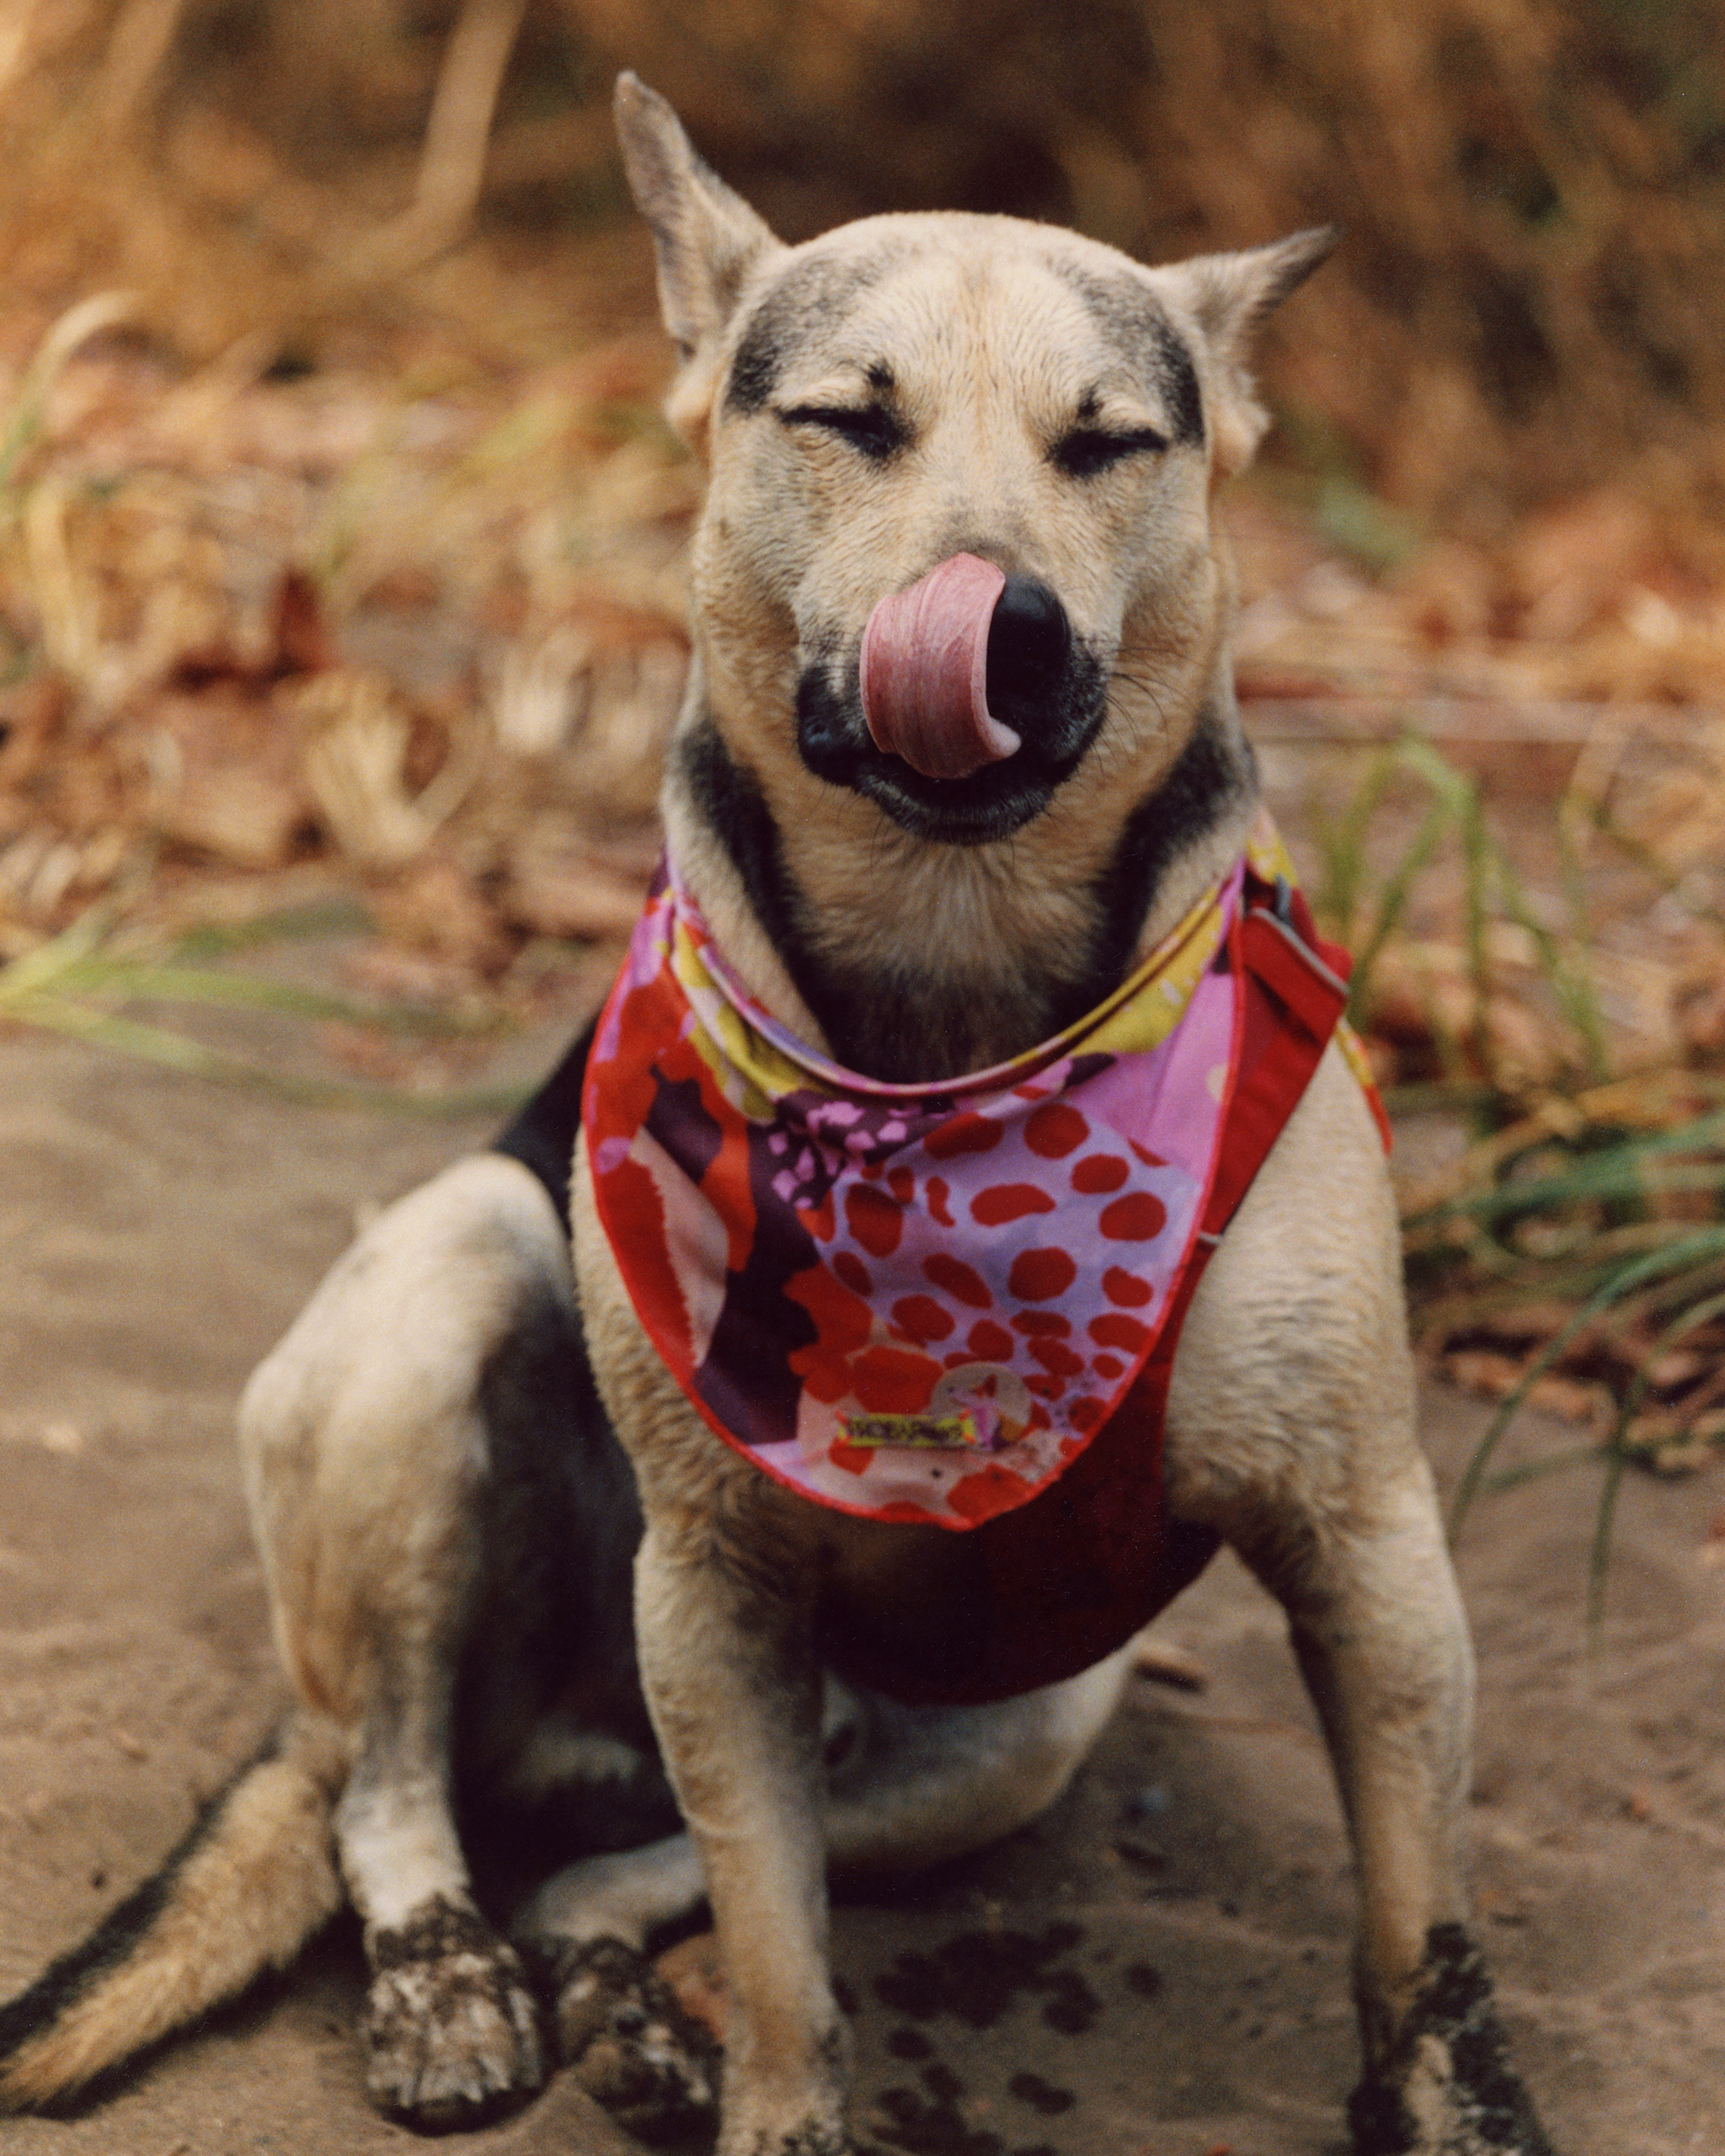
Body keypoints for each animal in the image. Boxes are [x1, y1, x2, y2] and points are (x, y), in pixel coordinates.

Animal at [0, 72, 1552, 2156]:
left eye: (1109, 441)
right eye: (847, 420)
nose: (1005, 633)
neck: (951, 1004)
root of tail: (550, 1749)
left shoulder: (1371, 1550)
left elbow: (1421, 1926)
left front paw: (1459, 2102)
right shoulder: (717, 1598)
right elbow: (785, 1955)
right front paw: (778, 2097)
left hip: (1022, 1720)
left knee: (609, 1863)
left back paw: (618, 1996)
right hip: (454, 1289)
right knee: (383, 1782)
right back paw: (447, 1972)